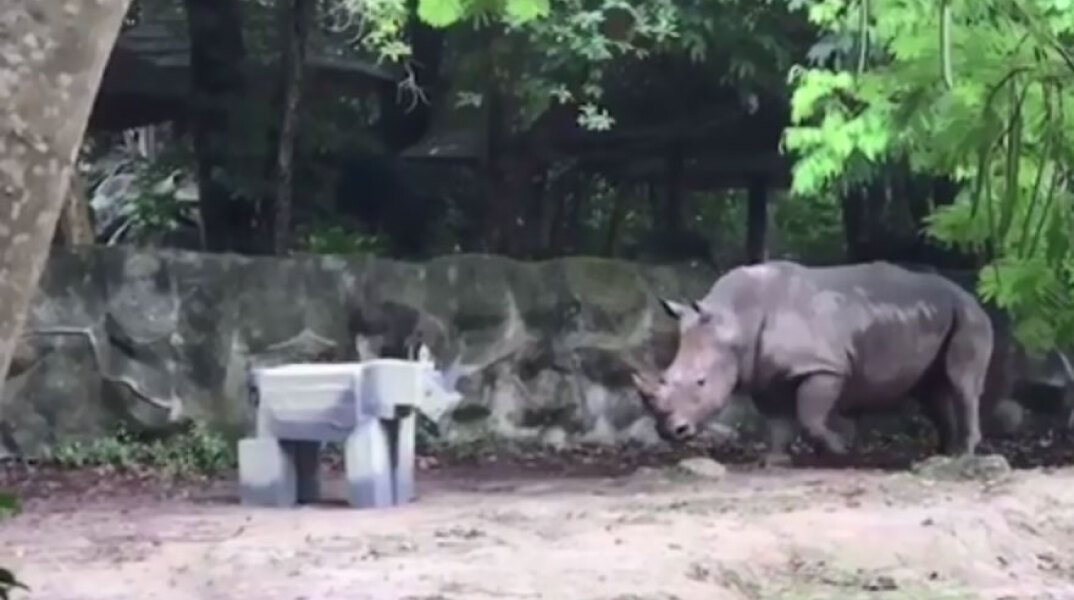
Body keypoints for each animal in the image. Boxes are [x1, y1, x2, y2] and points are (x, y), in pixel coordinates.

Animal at [632, 260, 994, 466]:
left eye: (701, 382)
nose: (670, 431)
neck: (736, 319)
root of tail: (970, 293)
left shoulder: (823, 366)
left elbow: (809, 417)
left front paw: (840, 449)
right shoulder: (763, 373)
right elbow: (777, 419)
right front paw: (774, 460)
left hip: (970, 316)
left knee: (962, 384)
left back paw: (963, 455)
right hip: (937, 316)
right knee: (931, 390)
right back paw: (943, 454)